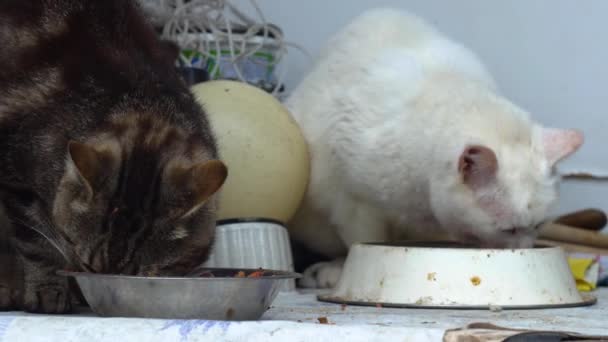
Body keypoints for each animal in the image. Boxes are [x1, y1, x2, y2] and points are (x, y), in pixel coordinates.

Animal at [284, 7, 584, 288]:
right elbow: (362, 244)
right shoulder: (355, 205)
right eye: (509, 229)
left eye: (539, 225)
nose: (525, 250)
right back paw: (327, 271)